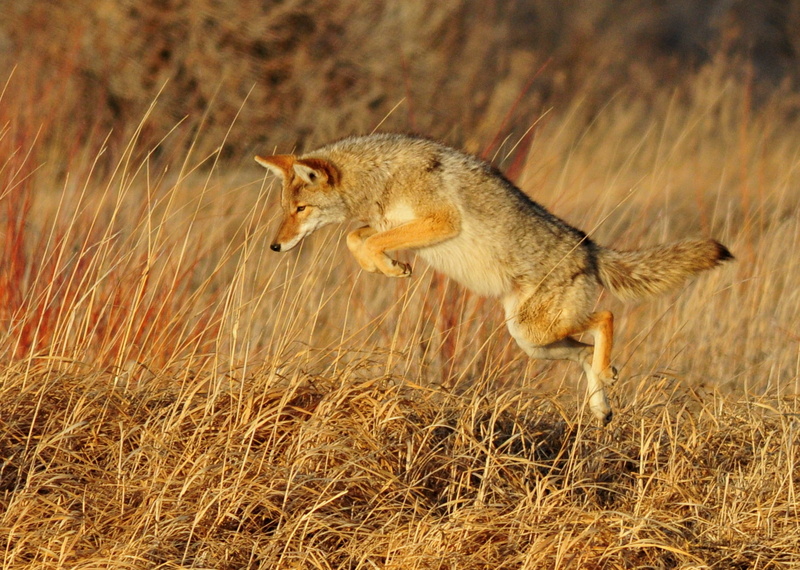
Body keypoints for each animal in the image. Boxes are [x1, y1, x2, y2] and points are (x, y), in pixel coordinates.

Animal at [256, 133, 732, 423]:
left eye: (300, 210)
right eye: (285, 209)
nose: (274, 247)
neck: (382, 176)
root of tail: (591, 248)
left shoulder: (439, 221)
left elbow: (363, 239)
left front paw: (388, 265)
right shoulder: (384, 224)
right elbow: (357, 238)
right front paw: (388, 267)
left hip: (536, 329)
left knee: (606, 318)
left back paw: (606, 379)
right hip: (531, 340)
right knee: (585, 352)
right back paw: (601, 406)